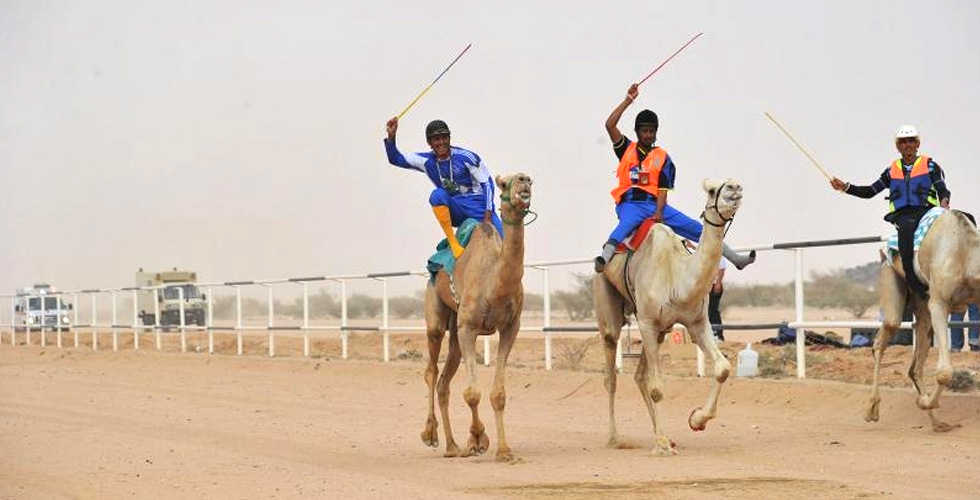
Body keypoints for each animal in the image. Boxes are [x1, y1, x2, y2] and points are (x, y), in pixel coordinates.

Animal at [418, 172, 532, 460]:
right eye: (504, 183)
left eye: (530, 180)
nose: (524, 180)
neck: (495, 284)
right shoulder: (468, 327)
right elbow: (472, 393)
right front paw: (478, 438)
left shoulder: (510, 327)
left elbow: (497, 394)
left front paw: (503, 450)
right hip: (436, 313)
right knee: (431, 371)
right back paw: (430, 434)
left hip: (456, 334)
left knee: (444, 383)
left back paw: (451, 446)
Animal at [588, 181, 744, 458]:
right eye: (712, 190)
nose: (734, 187)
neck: (677, 279)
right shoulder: (648, 323)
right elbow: (657, 388)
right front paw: (661, 445)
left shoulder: (697, 322)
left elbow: (723, 368)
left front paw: (697, 420)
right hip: (607, 301)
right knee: (611, 374)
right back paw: (615, 438)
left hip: (659, 331)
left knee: (639, 376)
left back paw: (666, 436)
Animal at [864, 209, 980, 432]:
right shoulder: (939, 302)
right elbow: (944, 372)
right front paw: (923, 402)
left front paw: (925, 403)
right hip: (891, 275)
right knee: (883, 337)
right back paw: (872, 409)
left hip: (922, 306)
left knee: (914, 367)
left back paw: (937, 422)